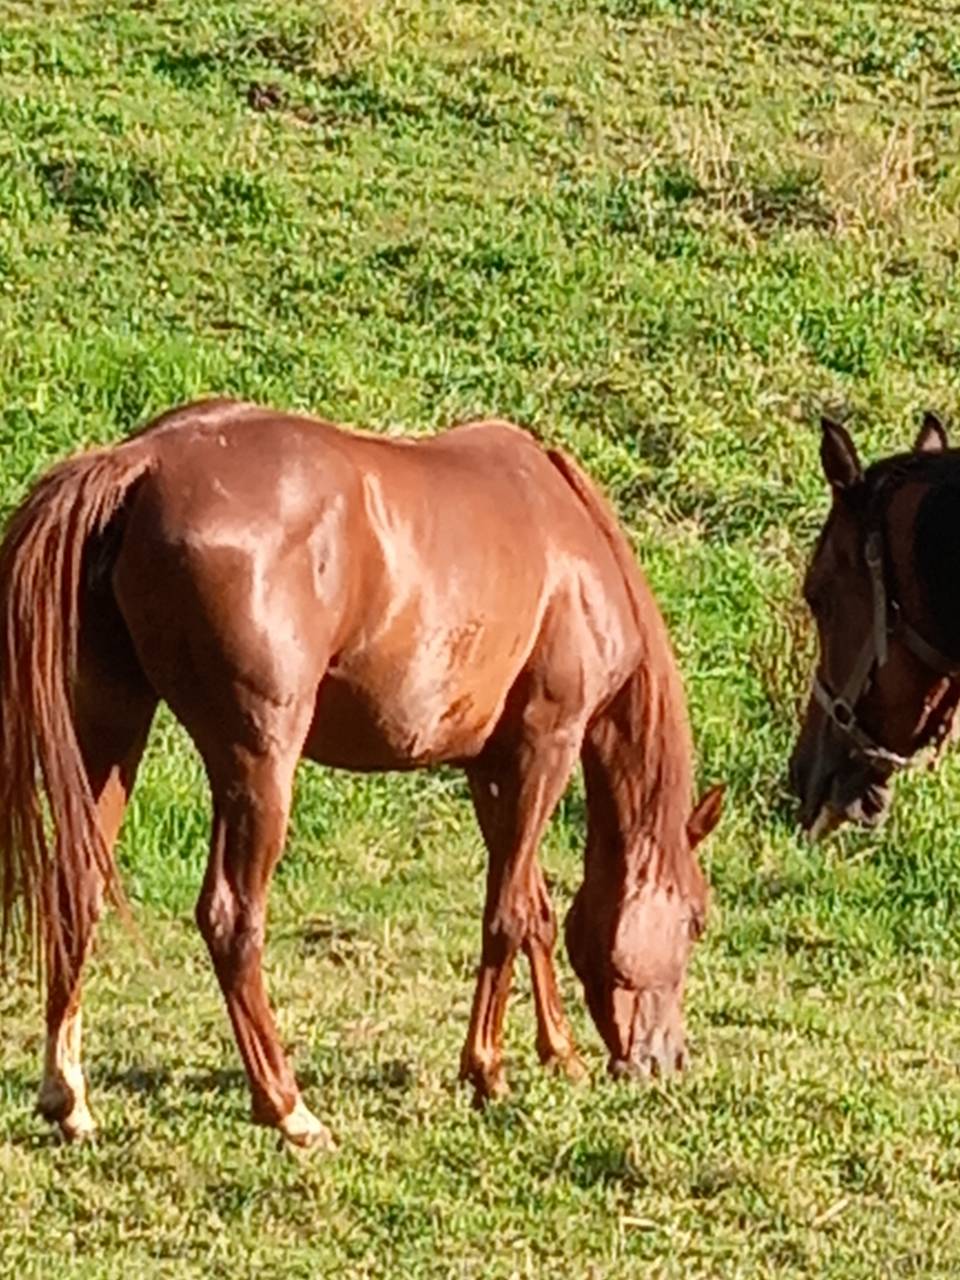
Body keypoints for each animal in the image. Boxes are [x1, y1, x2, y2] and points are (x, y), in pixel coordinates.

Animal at [0, 399, 723, 1148]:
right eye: (697, 920)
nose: (666, 1060)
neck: (572, 546)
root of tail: (143, 461)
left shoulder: (490, 768)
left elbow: (534, 910)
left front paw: (560, 1054)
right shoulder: (544, 746)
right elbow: (508, 914)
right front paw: (489, 1072)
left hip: (113, 732)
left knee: (78, 890)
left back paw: (68, 1096)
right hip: (259, 764)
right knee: (231, 920)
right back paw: (287, 1107)